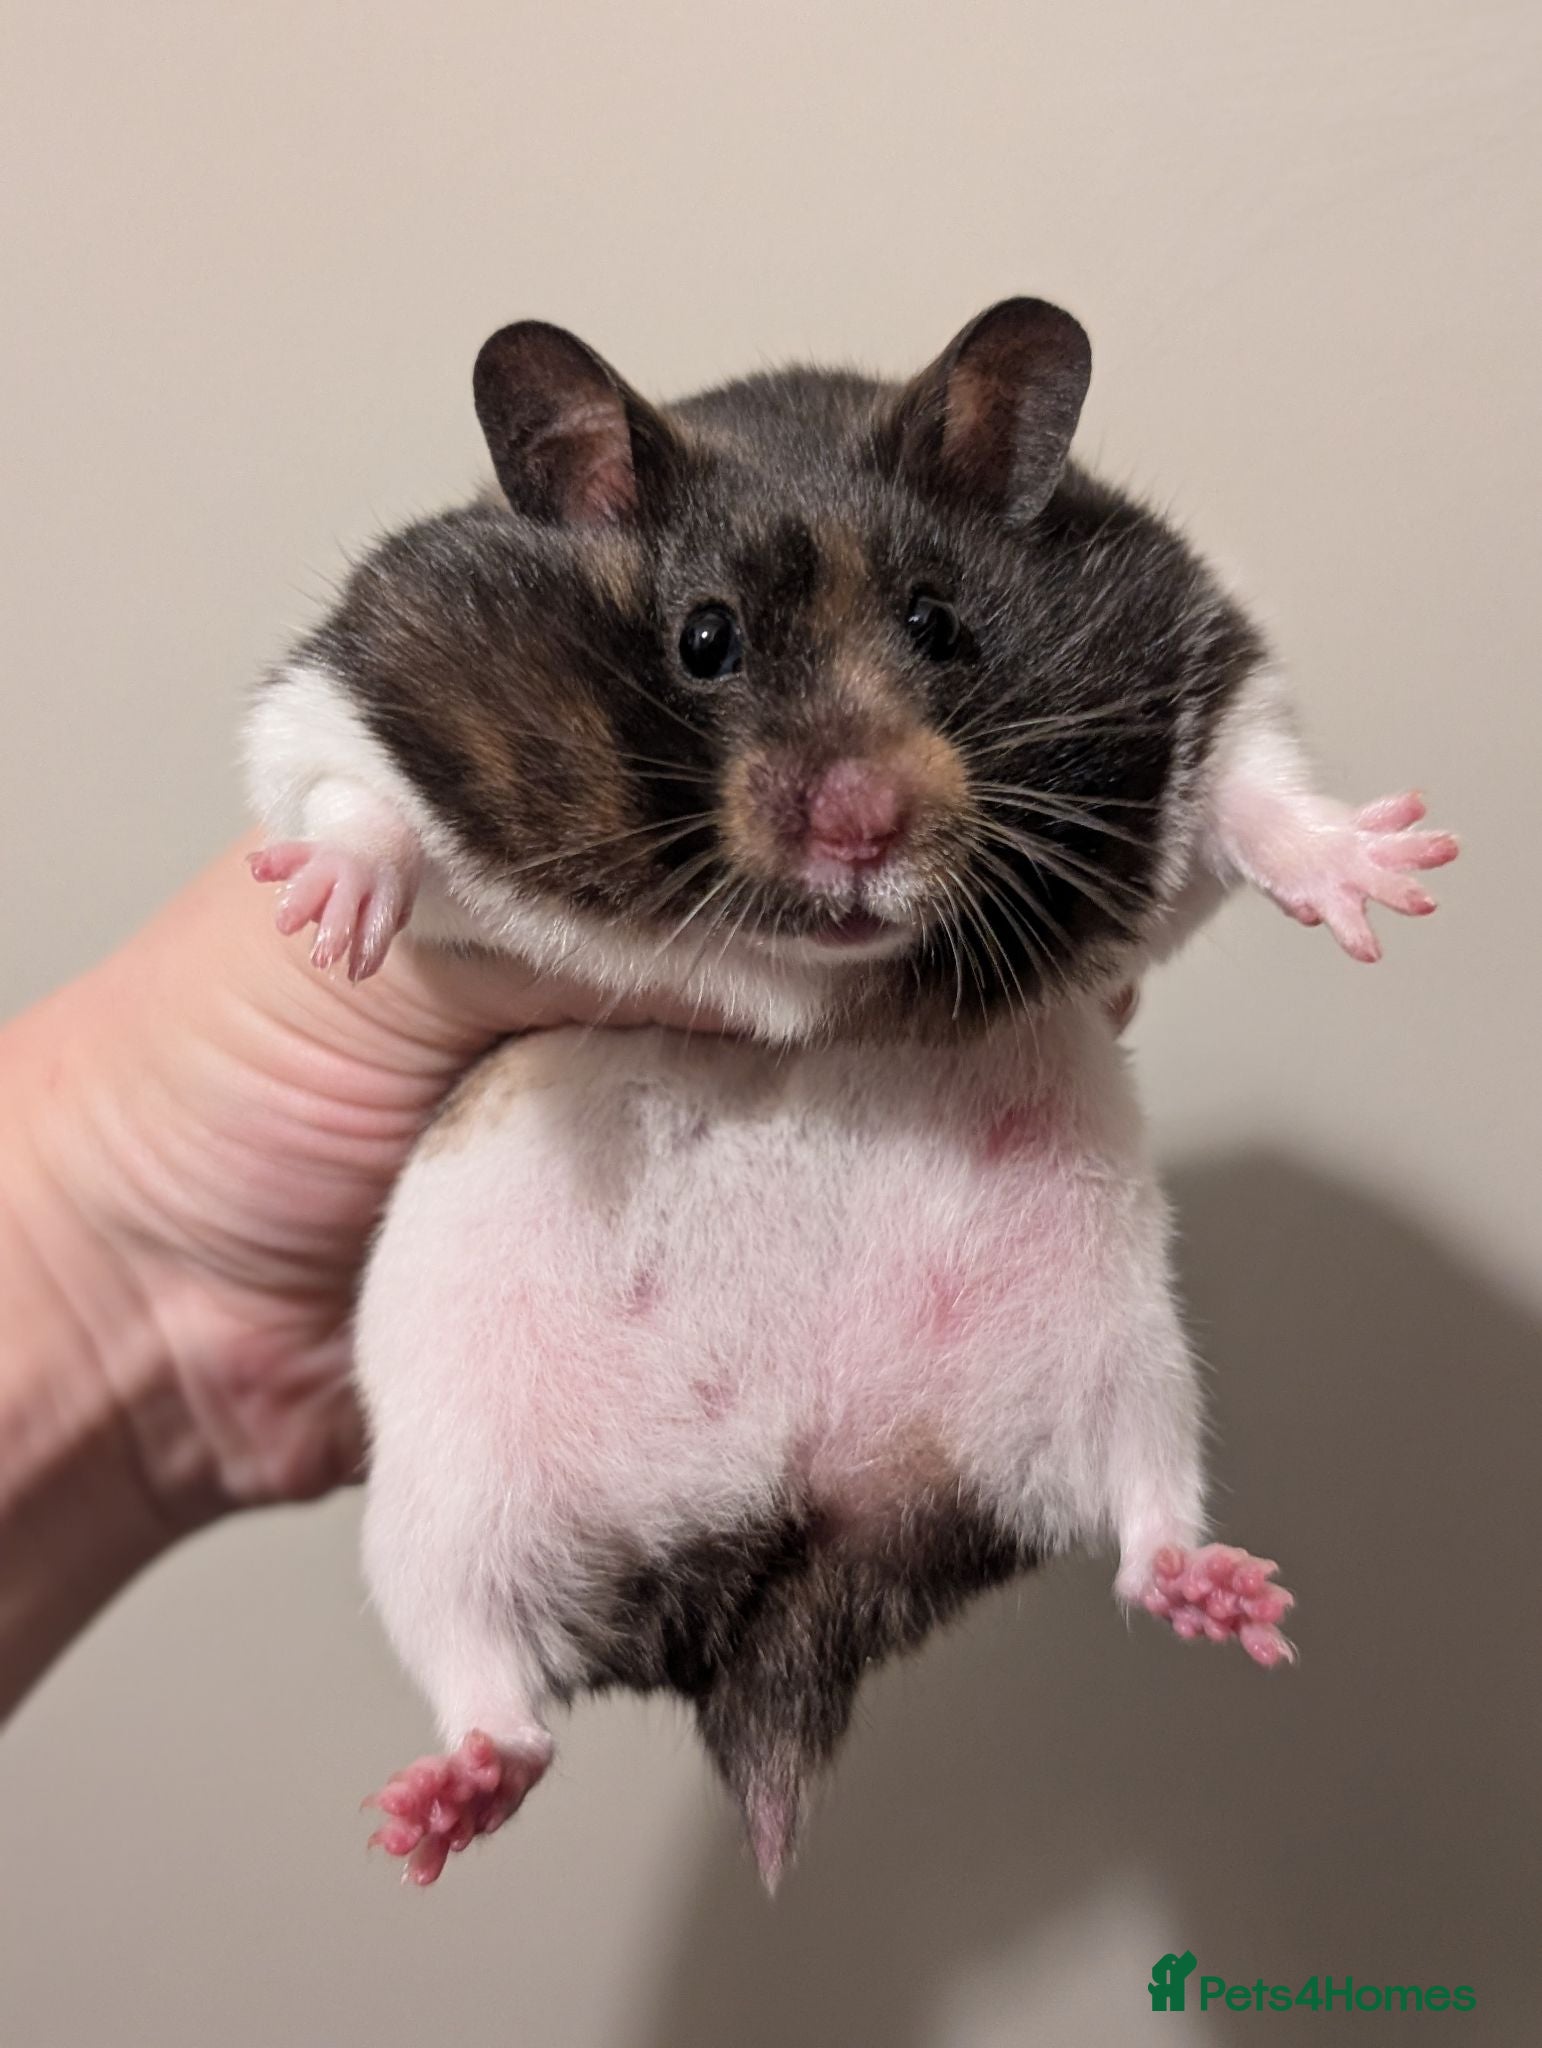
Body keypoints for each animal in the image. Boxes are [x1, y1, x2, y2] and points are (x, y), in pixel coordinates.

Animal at [245, 300, 1457, 1888]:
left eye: (940, 622)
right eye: (703, 640)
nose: (863, 826)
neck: (814, 970)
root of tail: (789, 1564)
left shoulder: (1199, 666)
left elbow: (1256, 794)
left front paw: (1392, 874)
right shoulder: (349, 696)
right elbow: (353, 805)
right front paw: (323, 921)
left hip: (1123, 1368)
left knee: (1143, 1515)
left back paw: (1233, 1600)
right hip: (439, 1512)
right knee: (489, 1677)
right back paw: (435, 1811)